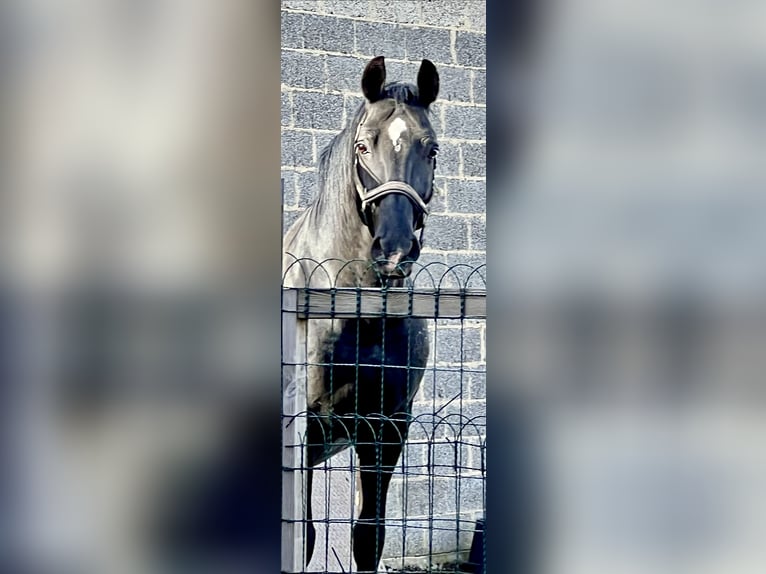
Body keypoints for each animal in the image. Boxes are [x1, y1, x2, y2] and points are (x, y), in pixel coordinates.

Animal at [282, 56, 440, 572]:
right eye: (363, 145)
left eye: (431, 149)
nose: (394, 250)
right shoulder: (304, 431)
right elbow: (304, 537)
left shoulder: (386, 430)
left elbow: (368, 536)